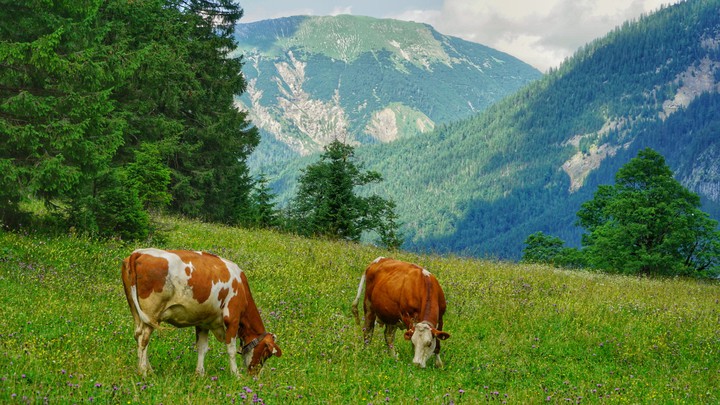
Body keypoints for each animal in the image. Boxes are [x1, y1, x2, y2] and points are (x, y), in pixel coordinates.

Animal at [120, 248, 281, 376]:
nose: (255, 376)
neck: (242, 288)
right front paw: (235, 374)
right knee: (144, 339)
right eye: (266, 354)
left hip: (137, 312)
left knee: (138, 336)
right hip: (152, 312)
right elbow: (231, 349)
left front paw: (200, 373)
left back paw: (149, 370)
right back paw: (143, 372)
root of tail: (139, 253)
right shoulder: (232, 319)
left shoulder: (203, 323)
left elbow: (202, 348)